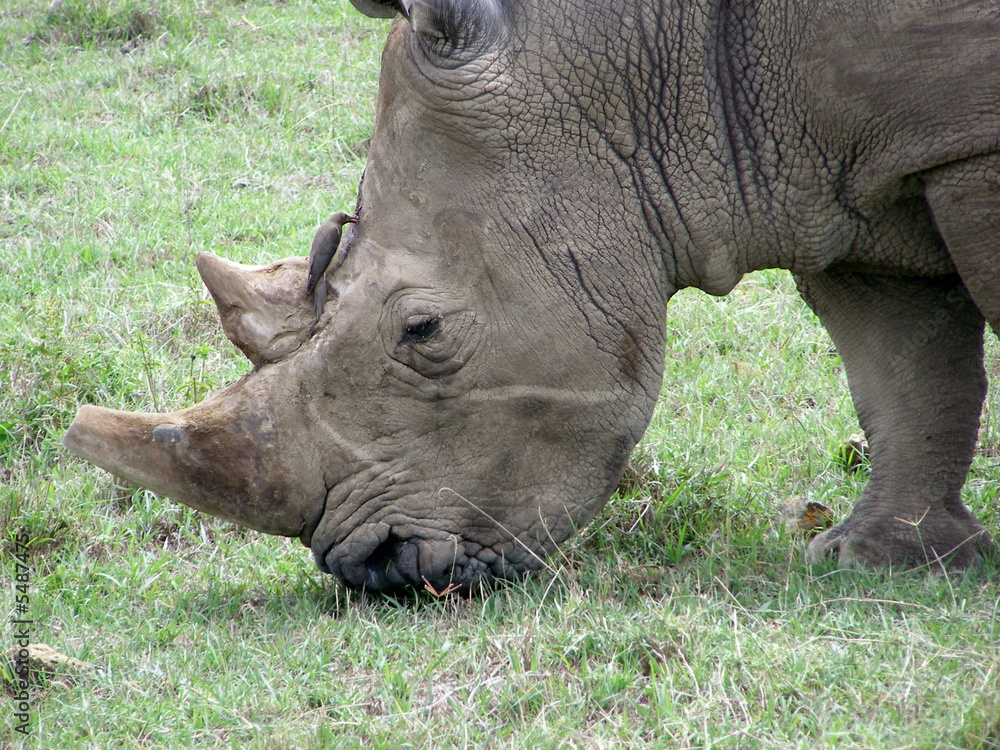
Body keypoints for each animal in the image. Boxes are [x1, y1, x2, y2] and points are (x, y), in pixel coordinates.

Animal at [64, 0, 999, 592]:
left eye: (424, 330)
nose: (374, 570)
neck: (659, 68)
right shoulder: (827, 173)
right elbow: (905, 374)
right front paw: (881, 562)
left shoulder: (961, 144)